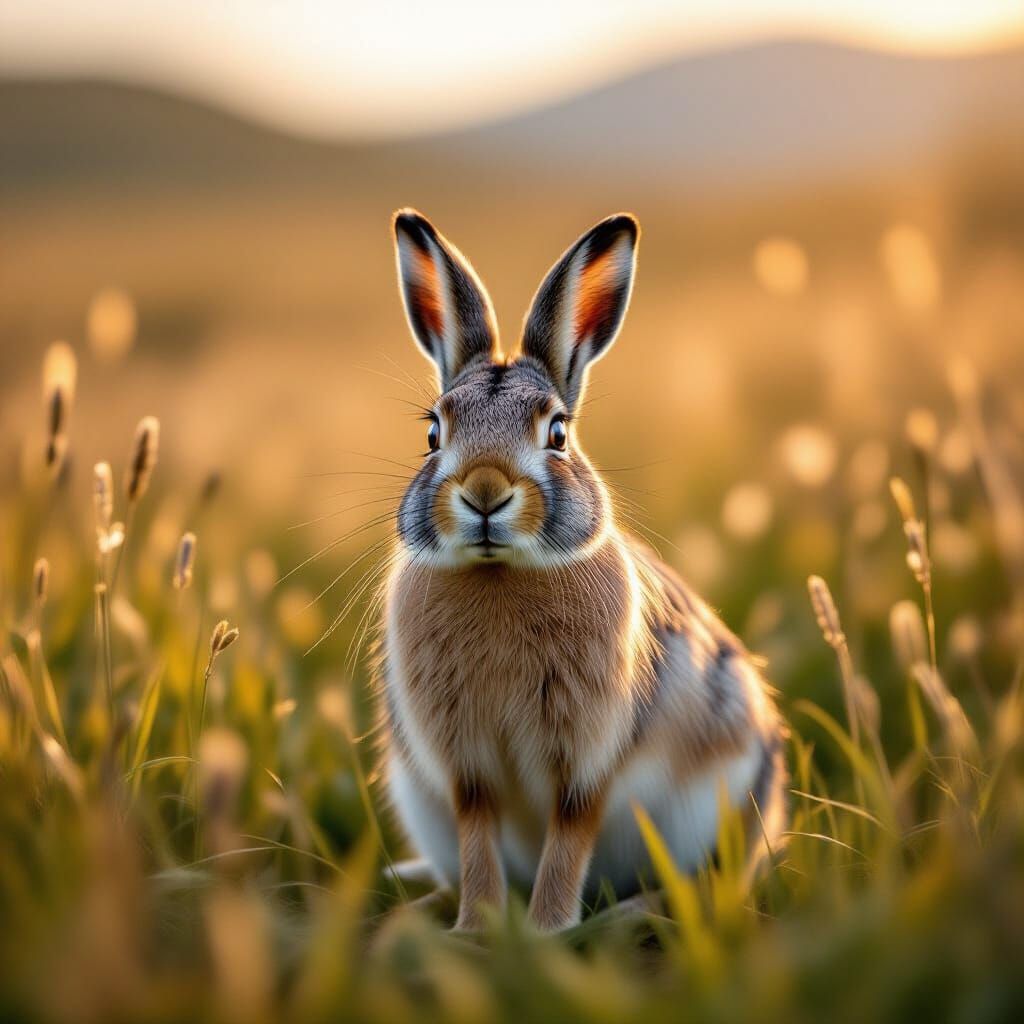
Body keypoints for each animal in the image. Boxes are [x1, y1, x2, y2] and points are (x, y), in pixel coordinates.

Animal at [376, 208, 787, 933]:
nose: (485, 492)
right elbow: (478, 840)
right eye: (433, 433)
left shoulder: (587, 760)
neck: (501, 574)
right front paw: (478, 929)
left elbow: (569, 840)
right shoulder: (466, 768)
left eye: (558, 434)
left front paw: (545, 932)